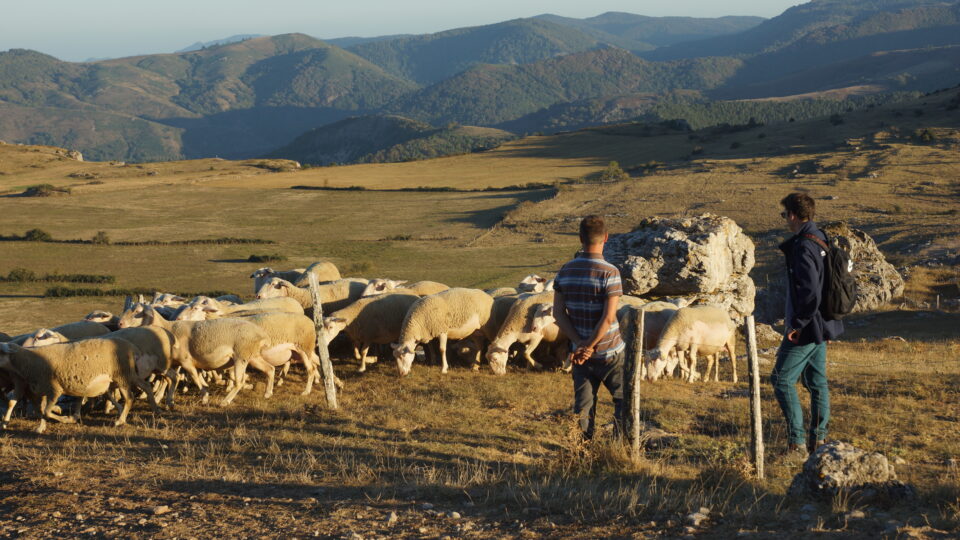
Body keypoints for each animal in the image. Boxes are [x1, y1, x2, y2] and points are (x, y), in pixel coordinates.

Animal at [0, 339, 158, 433]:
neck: (28, 361)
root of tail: (130, 346)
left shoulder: (54, 389)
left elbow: (46, 412)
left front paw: (67, 419)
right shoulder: (40, 389)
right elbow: (38, 410)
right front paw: (40, 427)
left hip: (123, 375)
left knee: (130, 398)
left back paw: (120, 421)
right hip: (126, 375)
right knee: (146, 386)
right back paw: (155, 409)